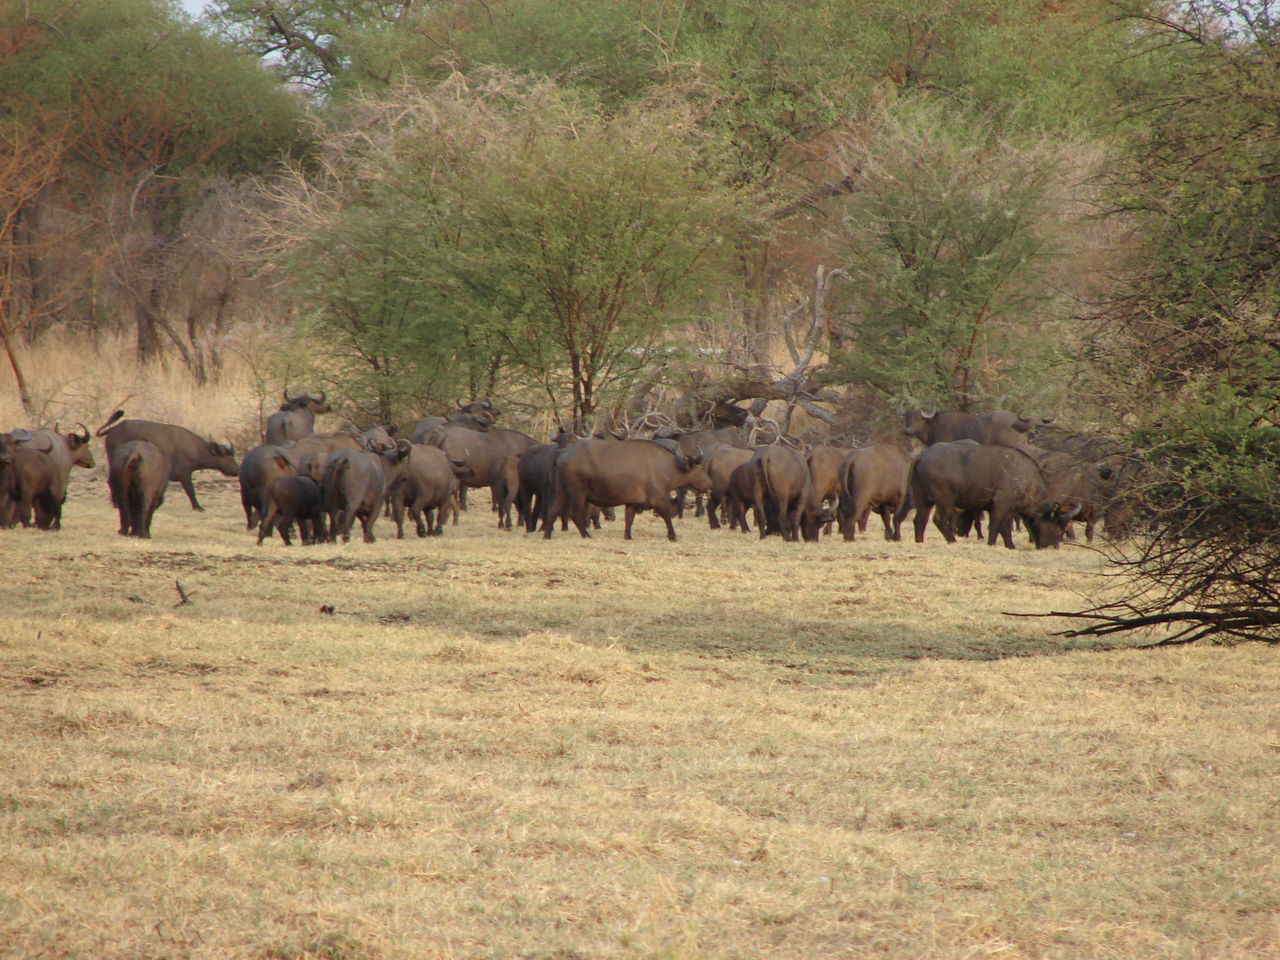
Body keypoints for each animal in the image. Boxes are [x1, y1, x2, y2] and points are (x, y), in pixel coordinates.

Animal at [97, 412, 238, 514]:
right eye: (229, 457)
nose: (236, 470)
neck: (194, 449)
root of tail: (112, 429)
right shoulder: (185, 474)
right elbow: (190, 490)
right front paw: (198, 507)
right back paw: (116, 503)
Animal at [911, 442, 1080, 547]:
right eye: (1058, 530)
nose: (1053, 546)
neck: (1026, 479)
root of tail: (923, 455)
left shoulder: (1011, 511)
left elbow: (1005, 529)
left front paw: (1010, 546)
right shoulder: (1000, 505)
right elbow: (995, 526)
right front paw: (991, 543)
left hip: (922, 499)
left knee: (920, 520)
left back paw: (919, 541)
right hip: (945, 500)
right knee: (938, 520)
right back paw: (952, 540)